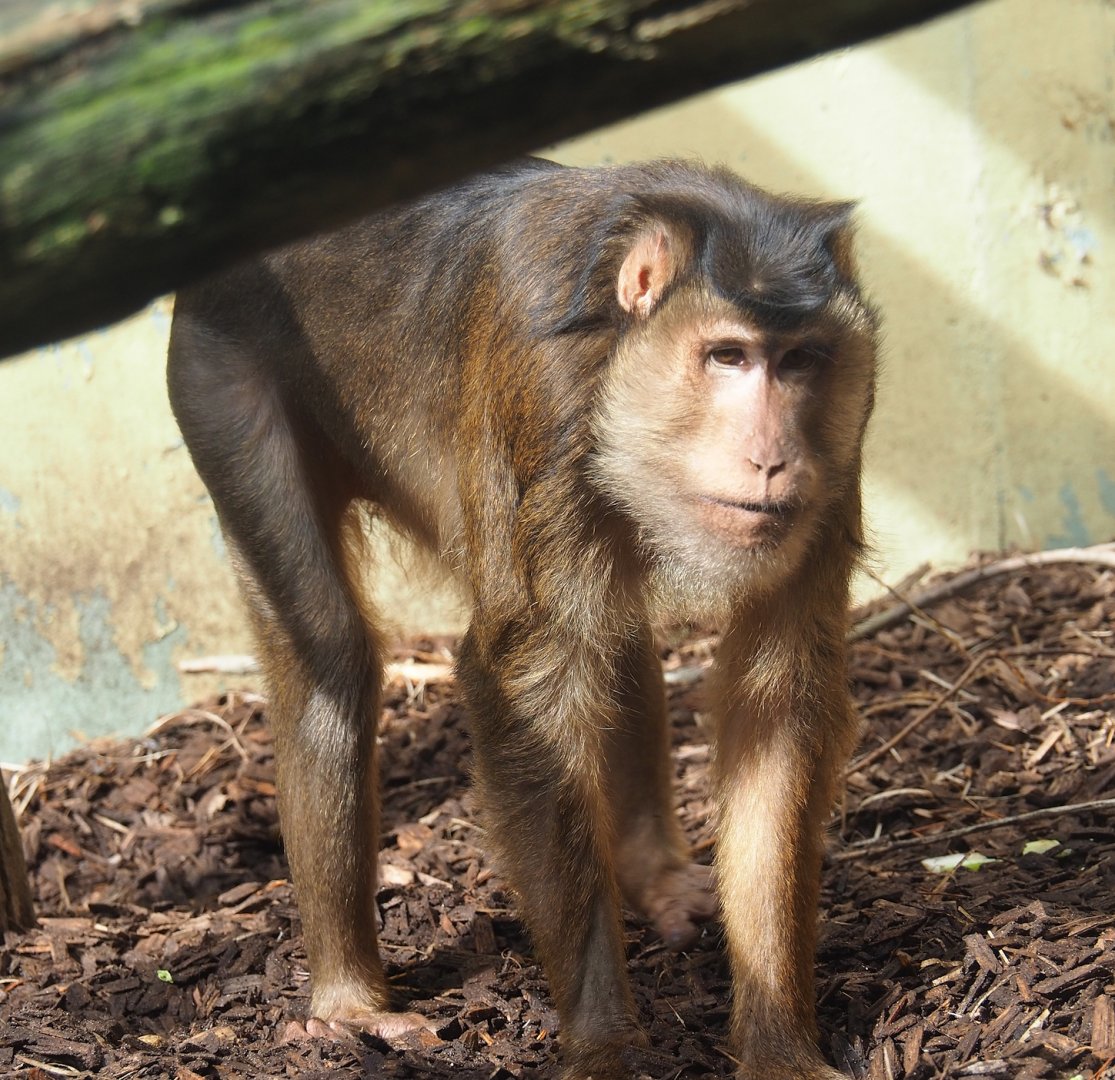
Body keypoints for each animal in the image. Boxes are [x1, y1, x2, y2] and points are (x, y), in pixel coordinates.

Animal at [167, 158, 878, 1080]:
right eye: (727, 355)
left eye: (801, 360)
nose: (772, 457)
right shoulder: (542, 396)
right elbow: (523, 689)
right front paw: (607, 1044)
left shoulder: (840, 448)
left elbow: (776, 698)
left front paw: (777, 1043)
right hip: (214, 375)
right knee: (329, 654)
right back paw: (348, 999)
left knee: (613, 634)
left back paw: (651, 875)